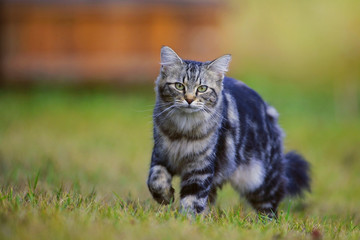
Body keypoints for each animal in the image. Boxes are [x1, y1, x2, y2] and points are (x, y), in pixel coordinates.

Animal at [146, 46, 310, 217]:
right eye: (179, 86)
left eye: (202, 88)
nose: (189, 99)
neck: (183, 130)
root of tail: (268, 110)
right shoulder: (161, 155)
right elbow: (155, 180)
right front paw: (165, 197)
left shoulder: (200, 167)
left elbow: (192, 199)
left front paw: (186, 220)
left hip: (260, 180)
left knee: (270, 206)